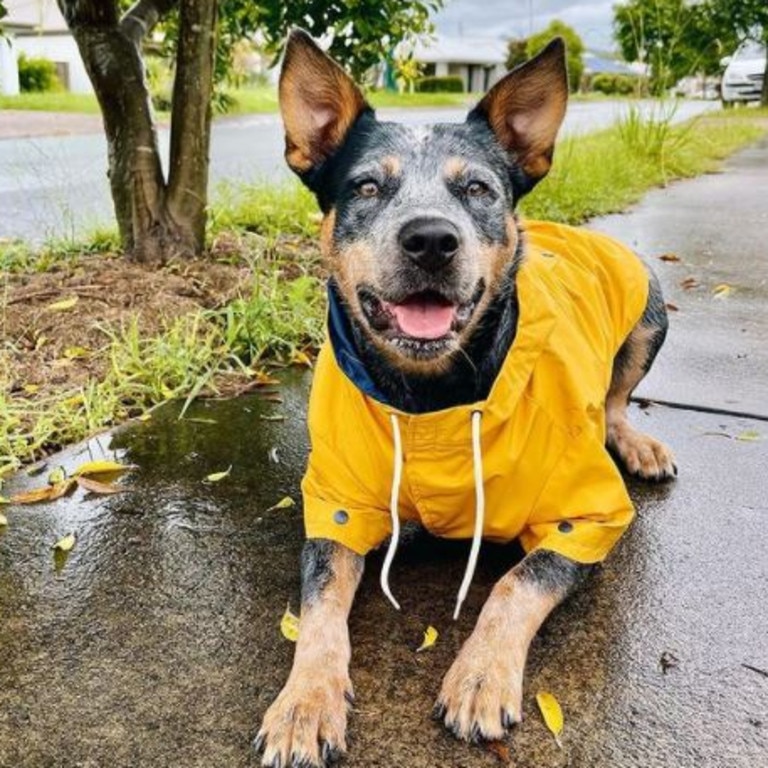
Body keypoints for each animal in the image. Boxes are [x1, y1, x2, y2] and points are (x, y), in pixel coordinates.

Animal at [255, 30, 676, 768]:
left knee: (617, 398)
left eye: (477, 188)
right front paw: (304, 702)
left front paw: (481, 675)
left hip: (650, 303)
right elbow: (318, 611)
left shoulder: (588, 516)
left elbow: (517, 584)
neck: (432, 402)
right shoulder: (336, 507)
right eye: (367, 186)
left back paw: (634, 441)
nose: (430, 238)